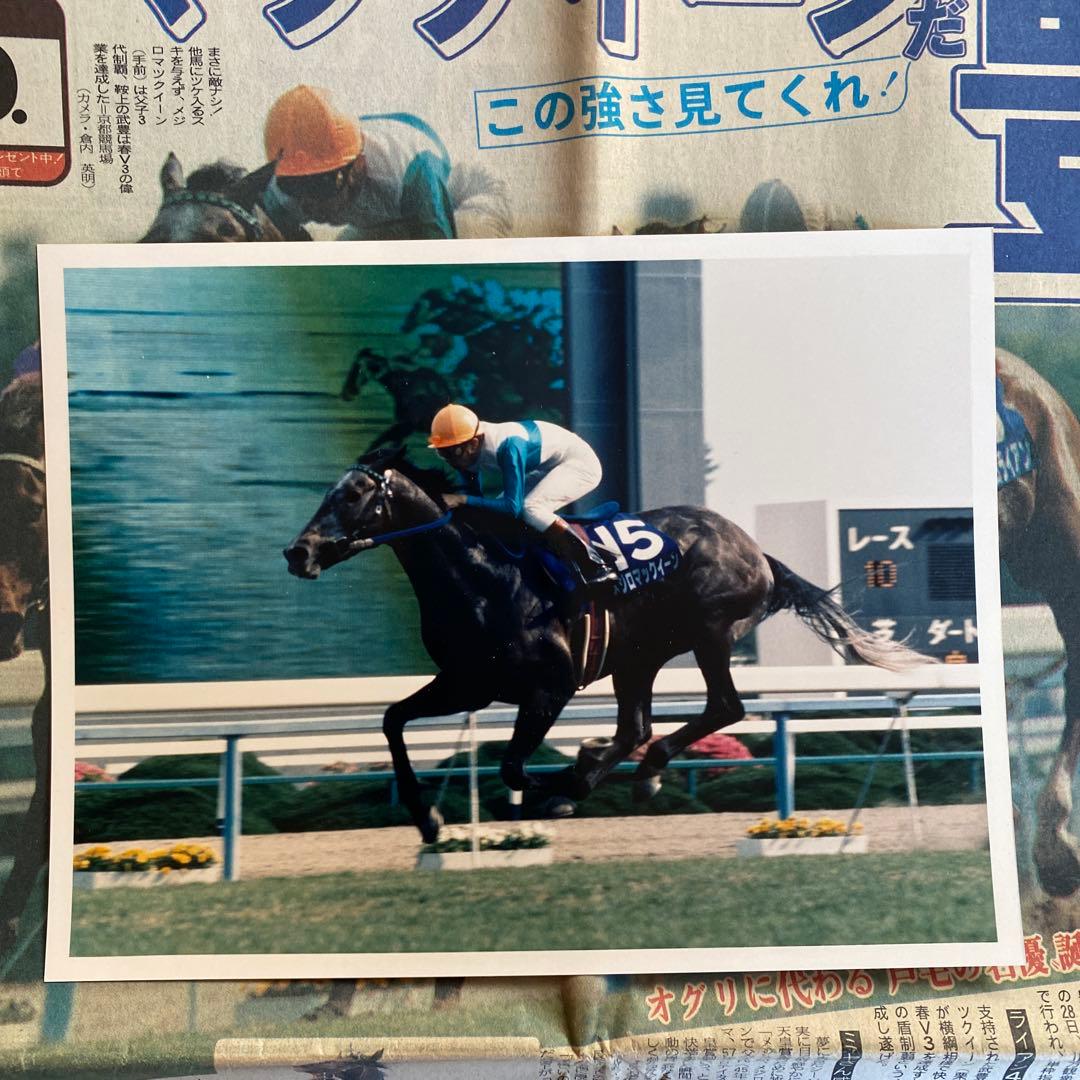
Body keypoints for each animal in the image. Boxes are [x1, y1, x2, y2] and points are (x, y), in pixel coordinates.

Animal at [284, 446, 927, 842]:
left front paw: (560, 791)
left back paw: (634, 771)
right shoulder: (468, 683)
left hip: (709, 633)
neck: (484, 577)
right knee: (637, 726)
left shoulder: (549, 687)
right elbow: (393, 720)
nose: (298, 552)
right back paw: (630, 768)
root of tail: (755, 551)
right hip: (638, 655)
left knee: (722, 706)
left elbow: (514, 766)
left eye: (351, 496)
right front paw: (428, 818)